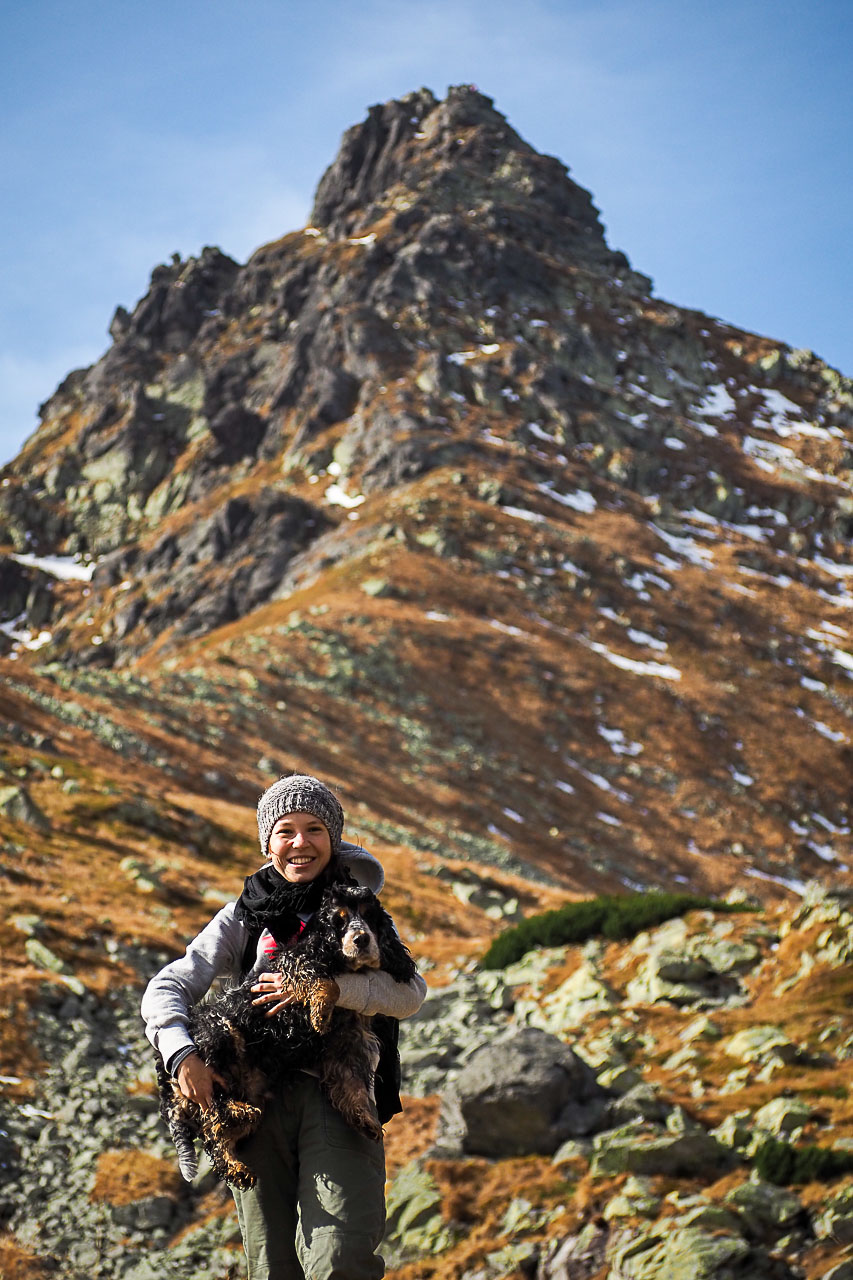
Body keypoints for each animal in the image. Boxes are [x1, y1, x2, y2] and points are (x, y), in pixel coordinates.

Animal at [156, 880, 417, 1187]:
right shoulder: (294, 963)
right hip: (219, 1037)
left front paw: (365, 1121)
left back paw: (238, 1163)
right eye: (338, 921)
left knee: (220, 1134)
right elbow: (326, 981)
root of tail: (164, 1073)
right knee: (212, 1114)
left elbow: (351, 1084)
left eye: (369, 916)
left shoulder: (345, 1043)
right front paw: (321, 1011)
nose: (361, 940)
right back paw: (235, 1116)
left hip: (251, 1090)